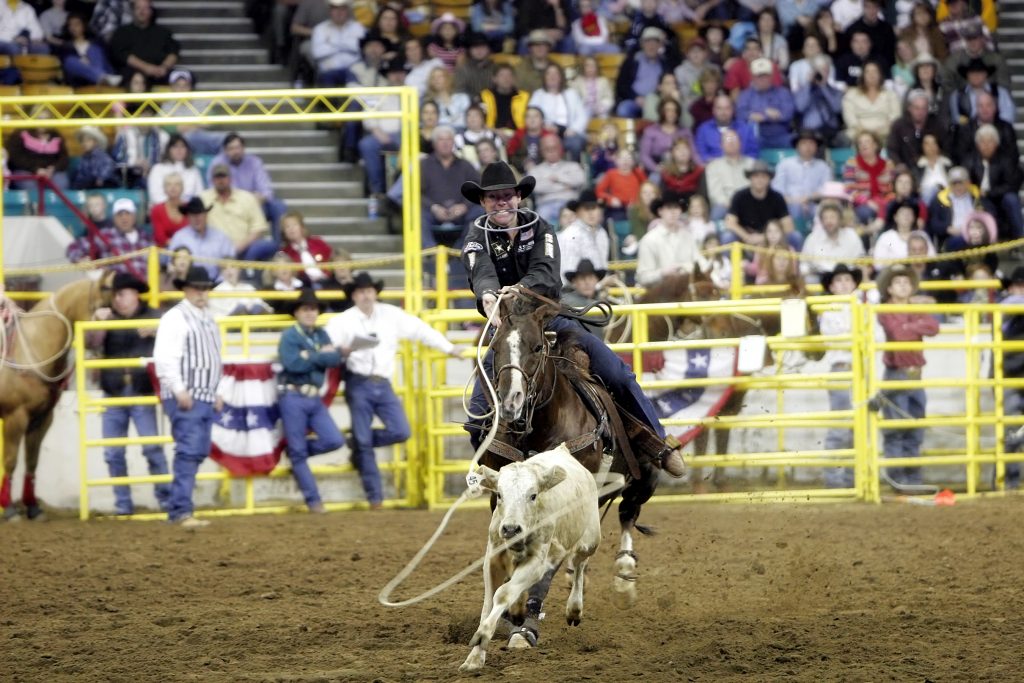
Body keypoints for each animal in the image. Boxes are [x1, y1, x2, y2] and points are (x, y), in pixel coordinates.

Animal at [1, 270, 116, 520]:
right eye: (101, 310)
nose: (103, 348)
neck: (29, 351)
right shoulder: (16, 417)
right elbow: (11, 460)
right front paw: (9, 509)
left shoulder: (42, 418)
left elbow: (32, 462)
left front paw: (32, 507)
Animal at [462, 444, 602, 671]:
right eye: (499, 495)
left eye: (533, 495)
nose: (511, 529)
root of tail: (563, 450)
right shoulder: (492, 561)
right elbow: (489, 604)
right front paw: (474, 658)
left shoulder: (537, 563)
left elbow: (502, 594)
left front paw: (483, 635)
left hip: (590, 540)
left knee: (579, 564)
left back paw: (574, 609)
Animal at [481, 290, 663, 651]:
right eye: (495, 346)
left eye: (537, 346)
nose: (511, 401)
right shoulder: (502, 500)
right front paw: (509, 615)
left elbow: (546, 568)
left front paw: (526, 628)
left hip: (643, 479)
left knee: (627, 514)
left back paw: (622, 577)